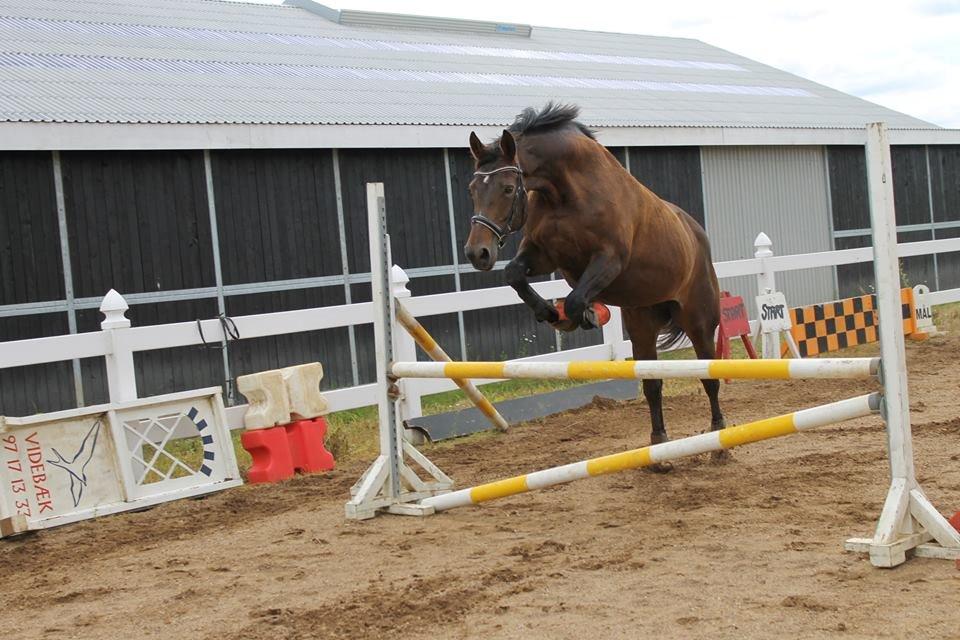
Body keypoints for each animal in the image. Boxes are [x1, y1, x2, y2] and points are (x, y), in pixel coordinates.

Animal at [466, 102, 728, 458]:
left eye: (507, 189)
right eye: (472, 190)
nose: (477, 253)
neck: (565, 190)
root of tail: (696, 233)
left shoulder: (609, 259)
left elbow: (577, 297)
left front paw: (578, 315)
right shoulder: (542, 254)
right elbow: (514, 274)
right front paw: (550, 312)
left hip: (698, 321)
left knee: (709, 377)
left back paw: (719, 442)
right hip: (642, 325)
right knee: (652, 384)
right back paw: (659, 449)